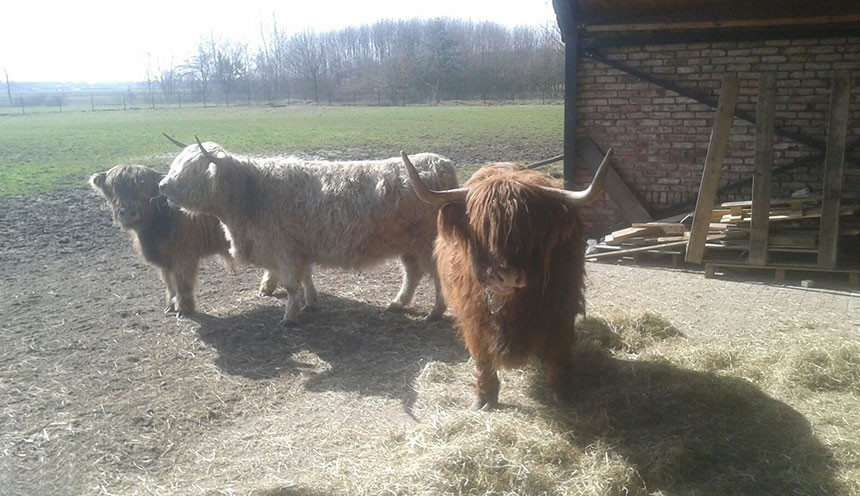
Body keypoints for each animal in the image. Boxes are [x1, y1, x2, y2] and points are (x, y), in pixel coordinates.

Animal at [159, 138, 460, 328]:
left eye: (192, 169)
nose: (163, 185)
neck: (251, 196)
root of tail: (440, 163)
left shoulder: (284, 250)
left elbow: (292, 284)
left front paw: (290, 318)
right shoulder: (298, 249)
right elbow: (305, 278)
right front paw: (311, 302)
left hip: (426, 243)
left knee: (436, 275)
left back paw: (434, 313)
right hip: (407, 244)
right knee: (412, 274)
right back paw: (398, 303)